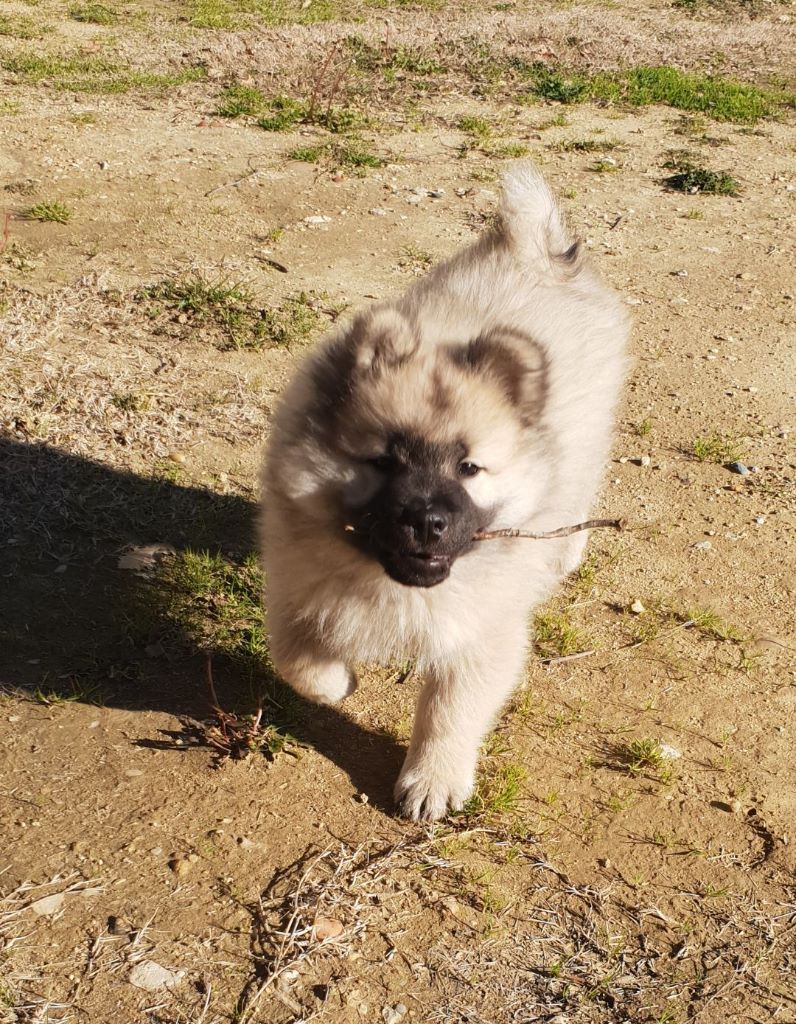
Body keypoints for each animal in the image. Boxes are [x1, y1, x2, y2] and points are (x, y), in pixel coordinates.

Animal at [259, 163, 628, 820]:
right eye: (384, 461)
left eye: (469, 467)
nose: (428, 522)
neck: (392, 583)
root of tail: (535, 252)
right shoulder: (295, 586)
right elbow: (299, 661)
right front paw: (342, 682)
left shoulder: (483, 633)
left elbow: (450, 711)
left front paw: (432, 781)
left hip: (590, 438)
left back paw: (565, 553)